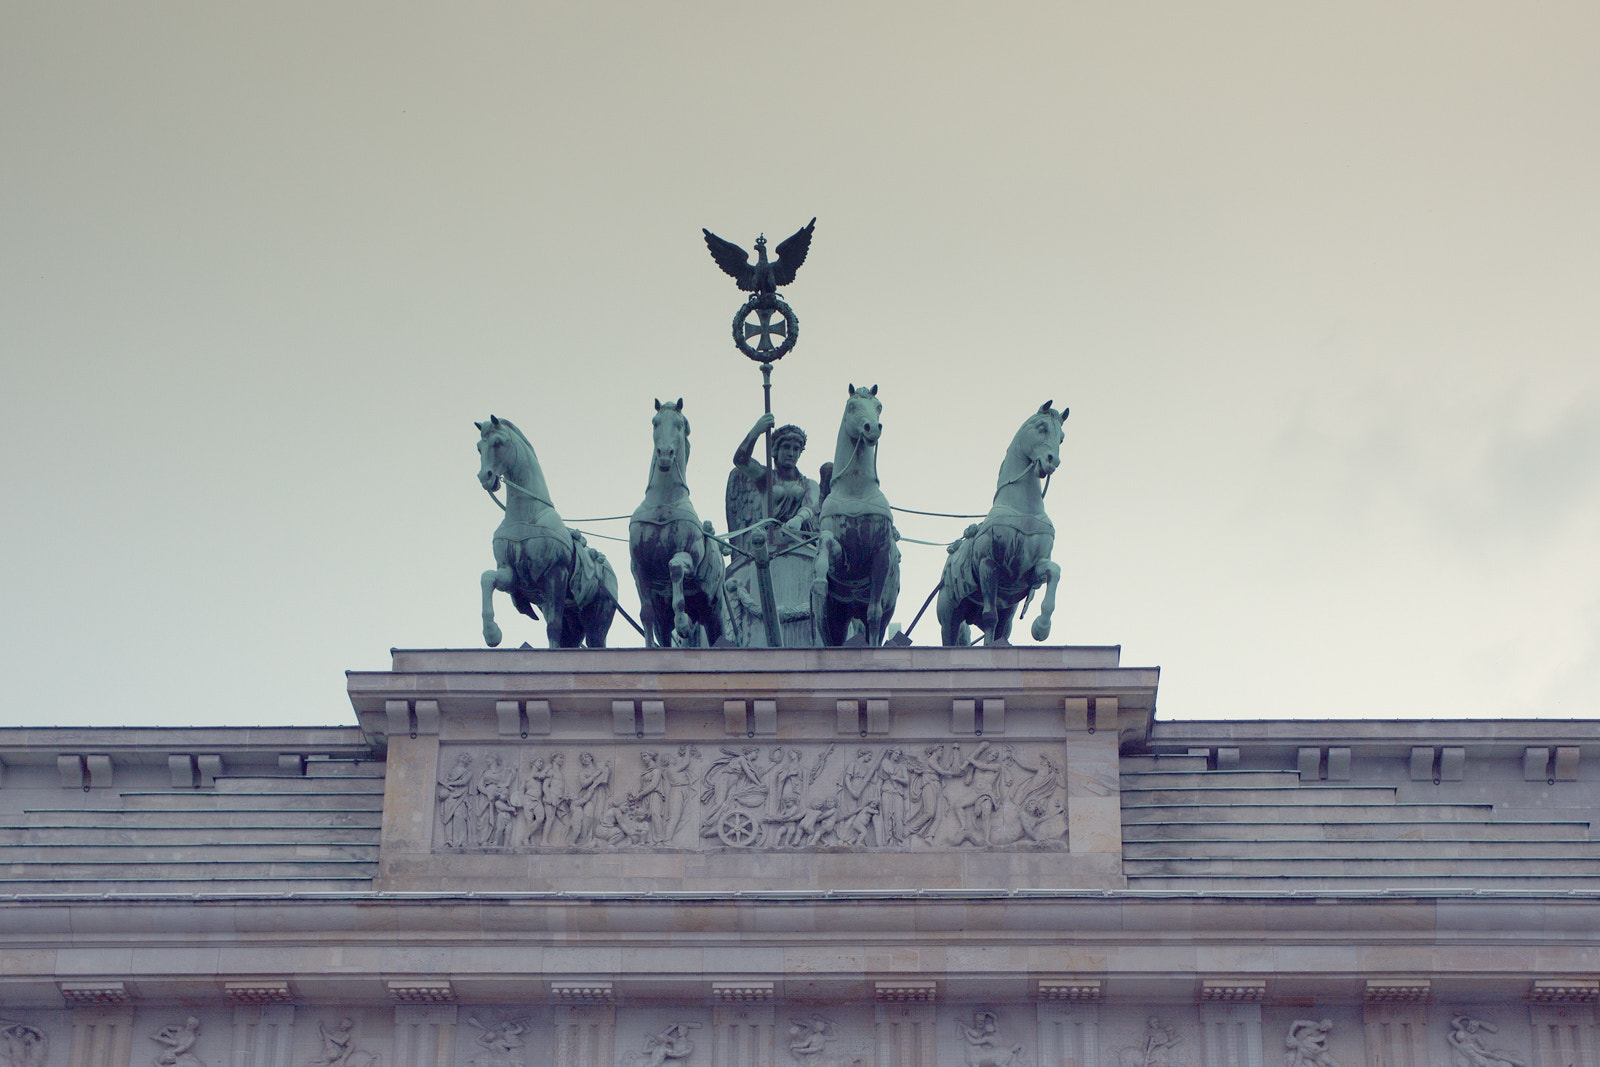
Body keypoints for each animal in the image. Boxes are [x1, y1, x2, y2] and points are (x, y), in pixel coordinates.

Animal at [473, 415, 617, 652]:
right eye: (478, 447)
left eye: (498, 443)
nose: (485, 477)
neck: (526, 515)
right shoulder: (511, 574)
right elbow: (487, 578)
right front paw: (492, 634)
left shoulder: (556, 575)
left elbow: (553, 627)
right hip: (573, 618)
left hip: (598, 617)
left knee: (595, 640)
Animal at [627, 399, 729, 652]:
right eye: (655, 422)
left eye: (680, 424)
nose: (665, 454)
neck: (663, 502)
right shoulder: (638, 567)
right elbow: (646, 614)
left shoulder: (689, 556)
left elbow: (674, 568)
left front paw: (682, 623)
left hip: (714, 613)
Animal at [812, 385, 902, 646]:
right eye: (852, 405)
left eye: (879, 406)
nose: (872, 427)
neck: (855, 489)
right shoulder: (842, 558)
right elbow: (826, 545)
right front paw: (819, 581)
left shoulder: (881, 553)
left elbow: (874, 614)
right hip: (838, 615)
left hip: (884, 607)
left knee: (877, 624)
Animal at [934, 399, 1068, 646]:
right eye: (1042, 427)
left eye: (1061, 437)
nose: (1052, 461)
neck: (1022, 508)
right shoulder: (988, 564)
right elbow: (990, 617)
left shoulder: (1031, 570)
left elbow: (1054, 571)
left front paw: (1041, 627)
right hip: (949, 614)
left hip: (1009, 612)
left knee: (1002, 629)